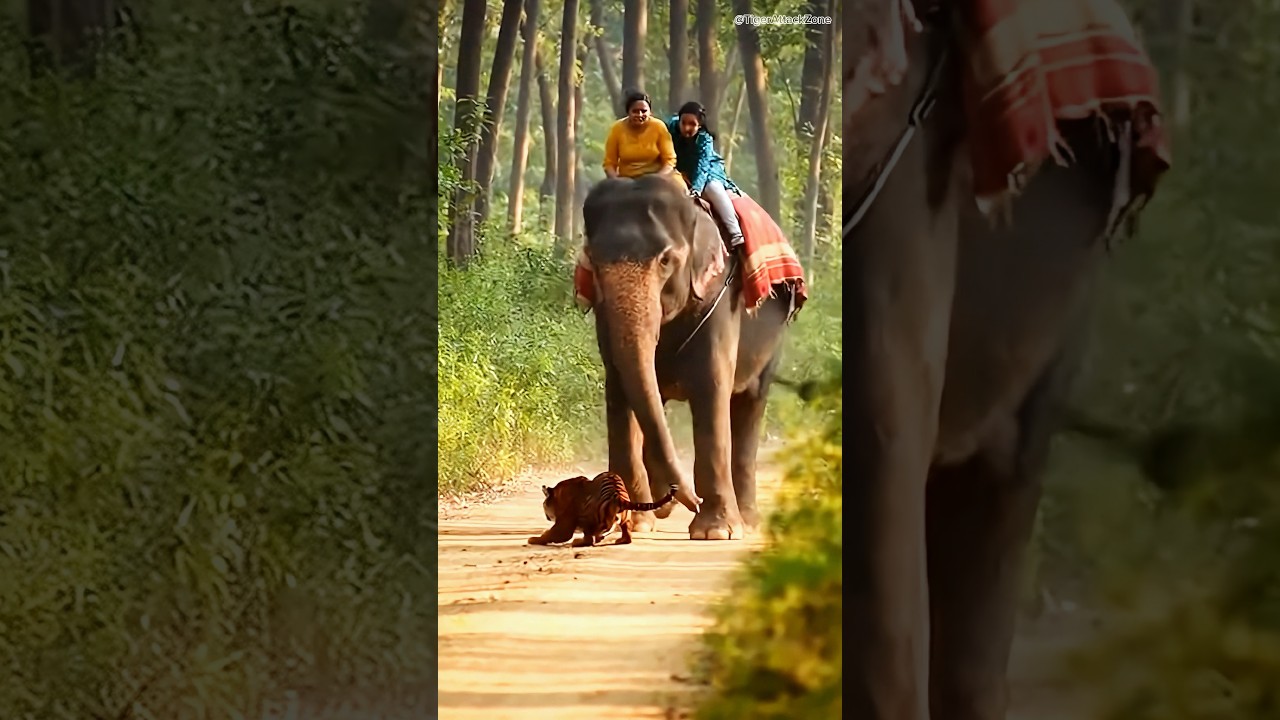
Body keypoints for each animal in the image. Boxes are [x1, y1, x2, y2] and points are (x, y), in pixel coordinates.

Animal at [527, 471, 678, 547]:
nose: (547, 516)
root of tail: (618, 496)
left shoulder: (564, 524)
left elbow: (553, 534)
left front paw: (533, 539)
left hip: (591, 520)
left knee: (589, 539)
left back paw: (580, 541)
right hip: (626, 519)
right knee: (626, 535)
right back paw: (617, 540)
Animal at [578, 174, 794, 540]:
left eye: (666, 260)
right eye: (592, 260)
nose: (692, 500)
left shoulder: (721, 297)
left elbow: (711, 386)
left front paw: (716, 532)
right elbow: (620, 389)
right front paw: (635, 522)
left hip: (772, 343)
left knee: (749, 406)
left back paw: (748, 523)